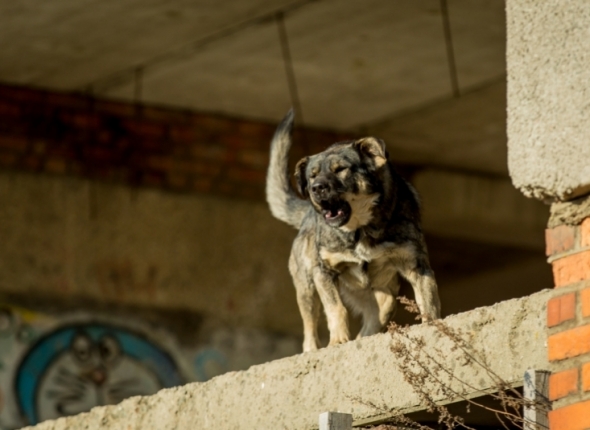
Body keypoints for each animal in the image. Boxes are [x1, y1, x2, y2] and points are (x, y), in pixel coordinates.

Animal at [266, 110, 441, 352]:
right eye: (312, 176)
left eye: (340, 170)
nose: (316, 189)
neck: (361, 229)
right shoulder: (324, 272)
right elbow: (336, 309)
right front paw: (338, 340)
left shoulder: (417, 265)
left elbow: (428, 299)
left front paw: (433, 325)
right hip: (307, 287)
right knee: (309, 327)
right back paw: (312, 350)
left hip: (384, 299)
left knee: (373, 321)